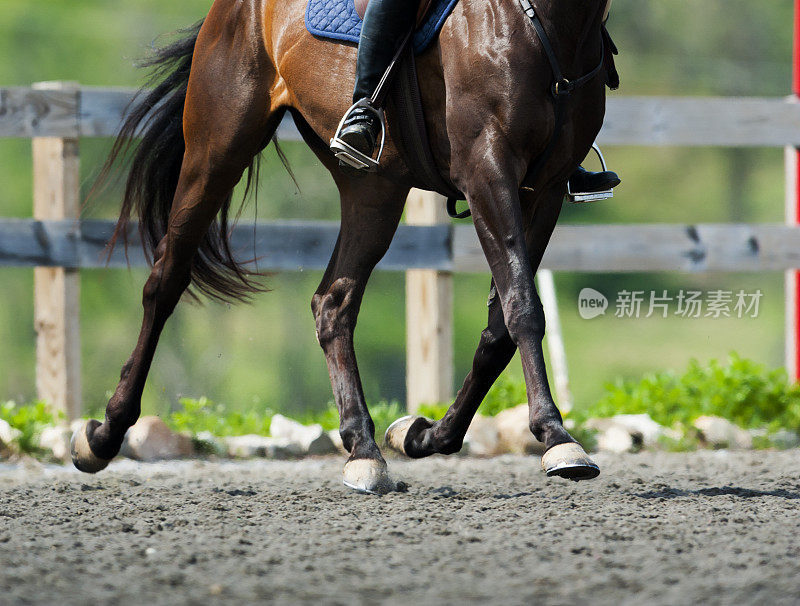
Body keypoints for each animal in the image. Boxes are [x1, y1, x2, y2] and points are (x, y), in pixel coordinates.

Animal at [75, 0, 608, 494]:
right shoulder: (488, 170)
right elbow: (522, 307)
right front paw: (558, 437)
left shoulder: (545, 188)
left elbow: (501, 324)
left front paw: (424, 435)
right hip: (216, 150)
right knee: (165, 281)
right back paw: (103, 435)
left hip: (374, 188)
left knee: (333, 302)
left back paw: (364, 448)